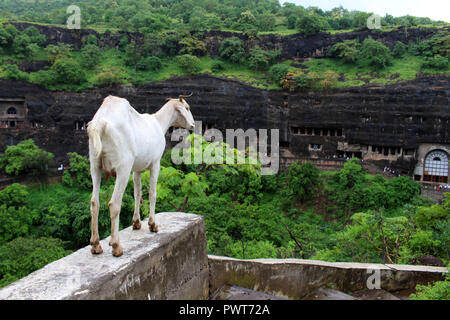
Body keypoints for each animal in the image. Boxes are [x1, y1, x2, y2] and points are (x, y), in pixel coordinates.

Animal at [87, 94, 194, 256]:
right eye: (187, 108)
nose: (193, 125)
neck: (159, 123)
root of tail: (101, 122)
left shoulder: (136, 169)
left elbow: (137, 193)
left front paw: (136, 223)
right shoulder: (155, 163)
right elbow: (152, 193)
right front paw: (152, 224)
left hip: (95, 165)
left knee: (94, 202)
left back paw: (95, 245)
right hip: (123, 167)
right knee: (114, 203)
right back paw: (116, 246)